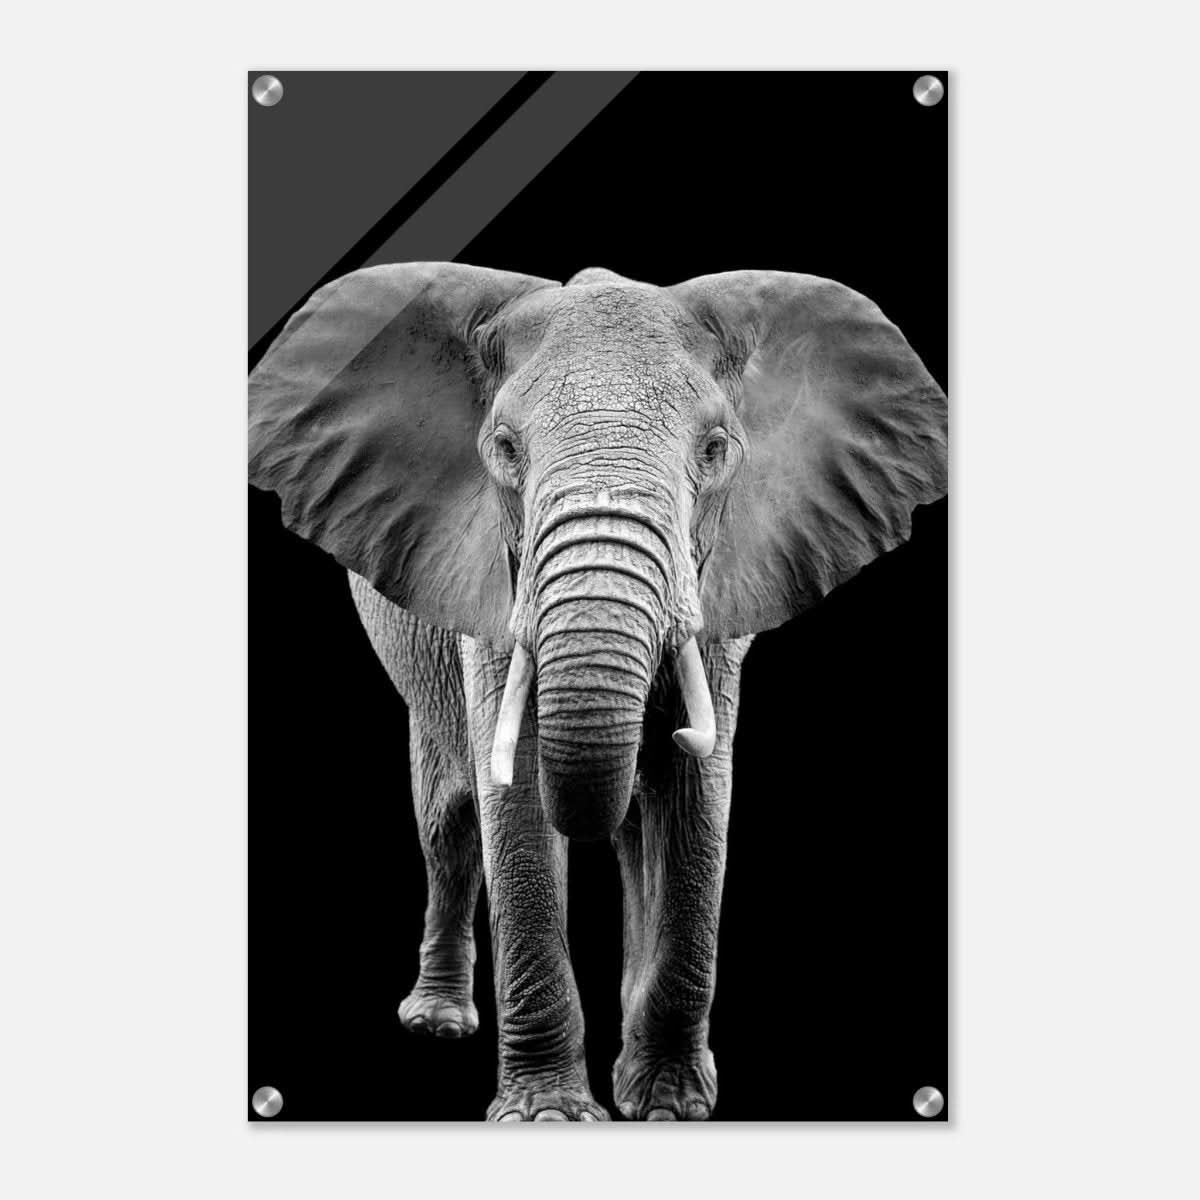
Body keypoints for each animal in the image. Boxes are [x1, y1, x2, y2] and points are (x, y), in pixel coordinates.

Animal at [248, 262, 947, 1121]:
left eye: (714, 449)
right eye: (504, 448)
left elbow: (695, 799)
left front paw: (669, 1106)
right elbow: (513, 799)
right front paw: (548, 1115)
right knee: (447, 821)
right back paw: (438, 1023)